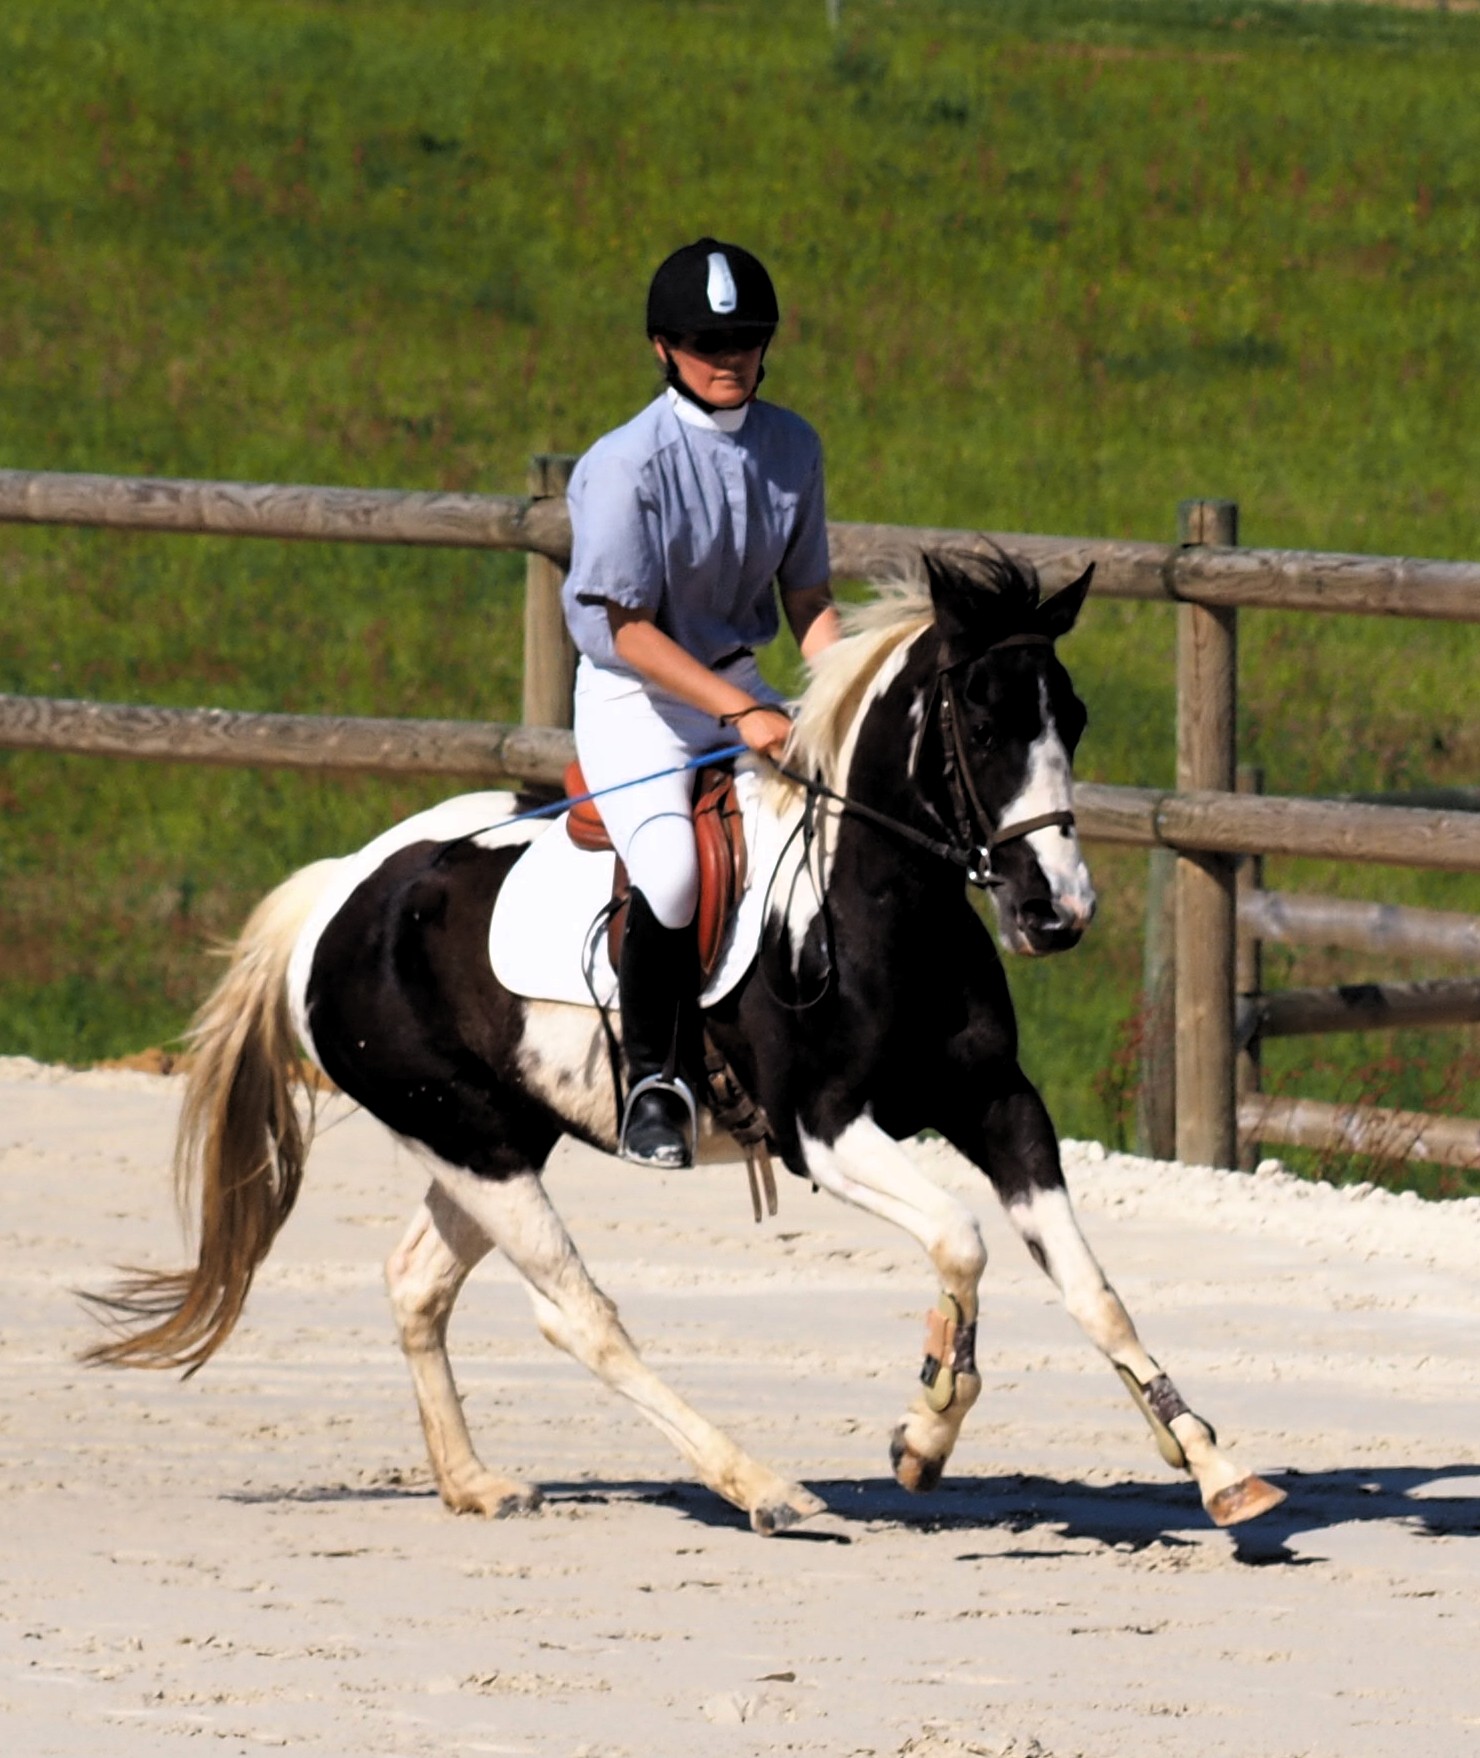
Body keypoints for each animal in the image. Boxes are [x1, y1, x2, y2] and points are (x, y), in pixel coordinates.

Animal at [84, 548, 1285, 1536]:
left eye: (1071, 718)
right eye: (982, 729)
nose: (1056, 911)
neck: (875, 900)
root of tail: (344, 890)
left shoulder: (997, 1103)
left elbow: (1090, 1285)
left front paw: (1217, 1469)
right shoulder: (826, 1133)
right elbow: (960, 1240)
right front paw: (927, 1425)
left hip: (491, 1138)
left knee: (418, 1283)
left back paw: (475, 1483)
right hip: (477, 1144)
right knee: (579, 1318)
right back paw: (762, 1486)